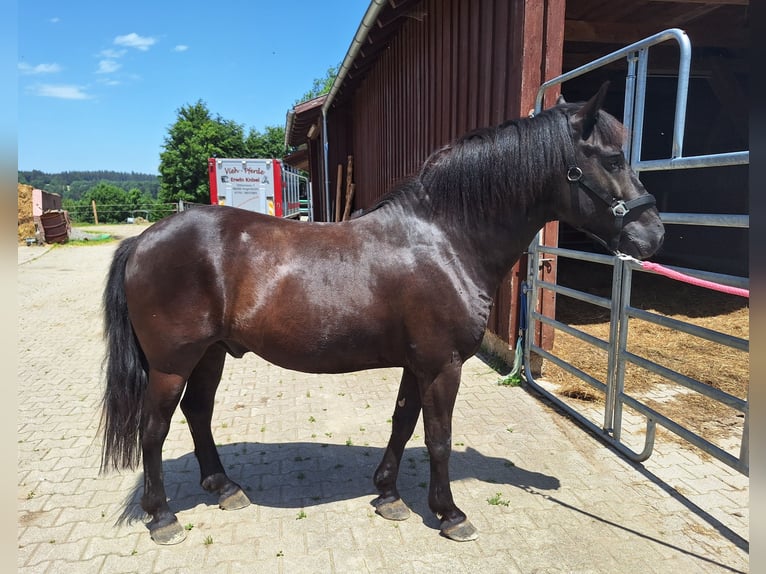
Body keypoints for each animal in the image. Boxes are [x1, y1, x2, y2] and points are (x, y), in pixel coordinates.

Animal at [100, 83, 664, 548]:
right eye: (613, 159)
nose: (653, 235)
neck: (447, 238)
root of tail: (143, 240)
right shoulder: (442, 366)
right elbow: (439, 438)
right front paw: (450, 515)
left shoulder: (419, 364)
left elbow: (402, 423)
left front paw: (389, 496)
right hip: (172, 363)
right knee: (154, 429)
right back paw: (162, 517)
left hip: (210, 354)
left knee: (198, 412)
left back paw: (223, 487)